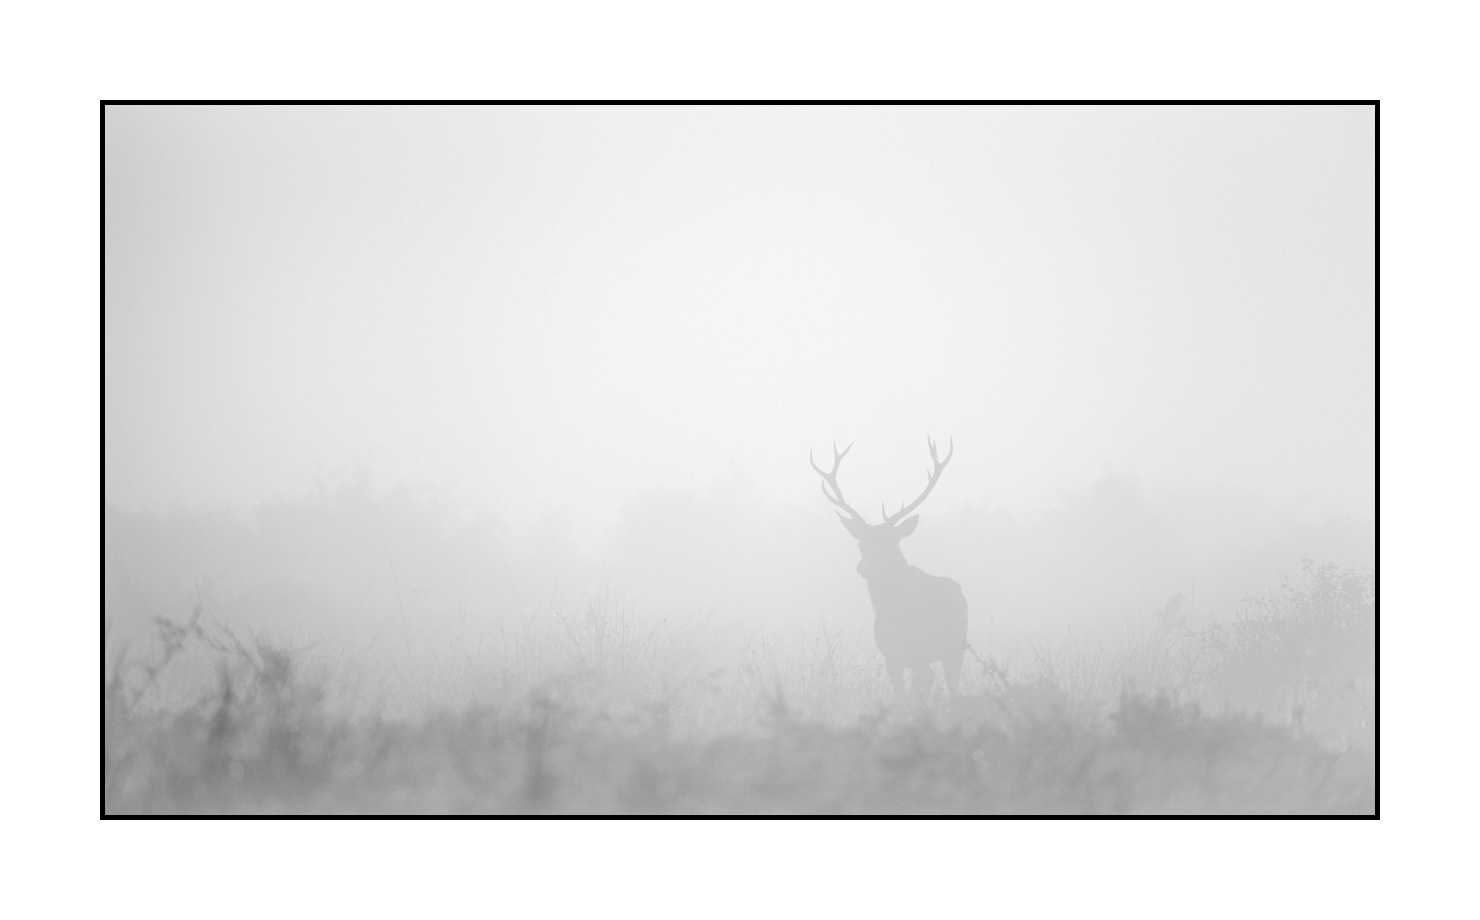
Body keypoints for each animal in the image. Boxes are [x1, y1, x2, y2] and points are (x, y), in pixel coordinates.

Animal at [810, 438, 968, 701]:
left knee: (933, 680)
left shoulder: (899, 652)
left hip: (934, 645)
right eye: (861, 543)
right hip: (952, 647)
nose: (863, 568)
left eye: (889, 542)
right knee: (947, 683)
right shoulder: (893, 654)